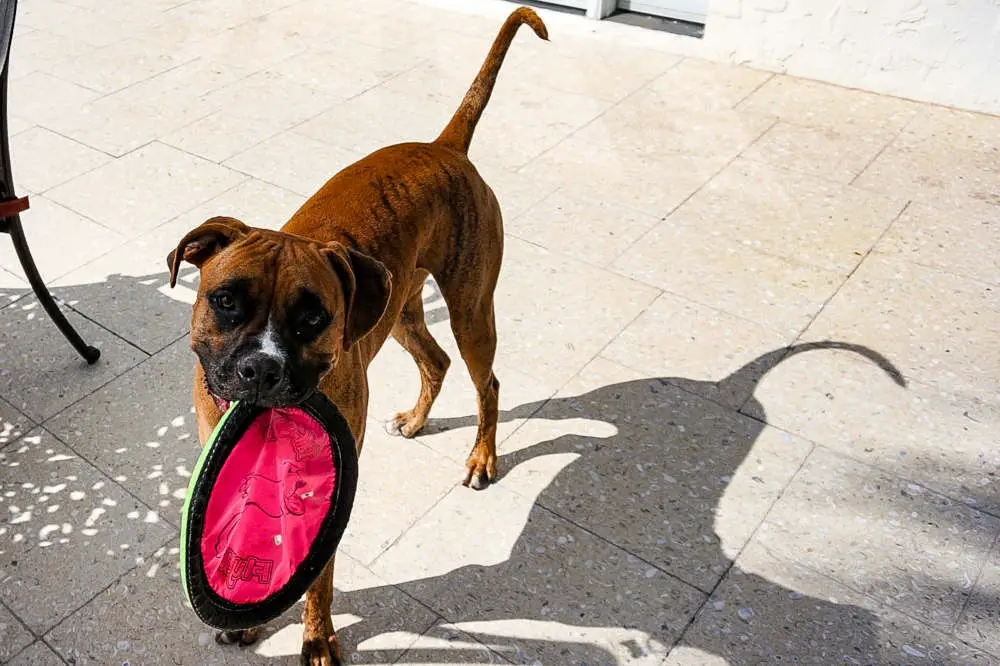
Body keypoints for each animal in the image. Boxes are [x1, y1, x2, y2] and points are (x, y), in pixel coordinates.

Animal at [168, 6, 552, 664]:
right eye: (226, 301)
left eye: (312, 319)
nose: (261, 369)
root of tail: (443, 147)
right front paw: (245, 619)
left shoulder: (327, 498)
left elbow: (318, 575)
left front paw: (318, 638)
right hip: (401, 312)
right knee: (435, 361)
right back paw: (417, 419)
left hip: (470, 308)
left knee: (487, 383)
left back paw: (482, 456)